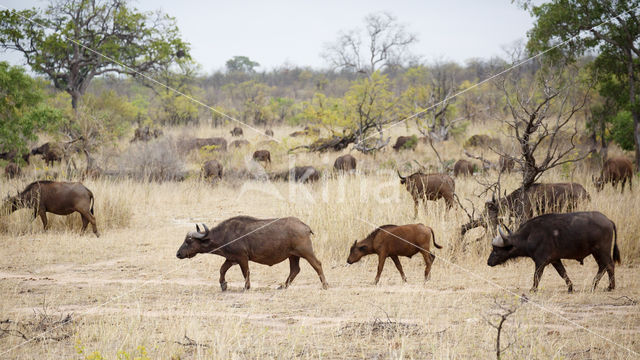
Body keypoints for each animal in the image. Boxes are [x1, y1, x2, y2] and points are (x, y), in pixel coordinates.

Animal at [176, 217, 330, 290]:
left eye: (188, 241)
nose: (178, 254)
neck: (225, 235)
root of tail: (304, 226)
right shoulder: (231, 259)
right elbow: (222, 270)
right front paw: (223, 285)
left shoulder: (242, 258)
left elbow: (246, 273)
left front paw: (246, 287)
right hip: (293, 256)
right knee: (295, 270)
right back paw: (283, 286)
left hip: (306, 252)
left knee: (317, 264)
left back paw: (325, 285)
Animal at [490, 211, 620, 292]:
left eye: (496, 250)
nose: (488, 262)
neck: (530, 235)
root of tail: (608, 220)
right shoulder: (555, 260)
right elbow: (563, 273)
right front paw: (570, 288)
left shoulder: (540, 261)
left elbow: (536, 275)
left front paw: (533, 289)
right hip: (597, 253)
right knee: (603, 266)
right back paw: (595, 286)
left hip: (601, 251)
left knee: (609, 265)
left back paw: (609, 287)